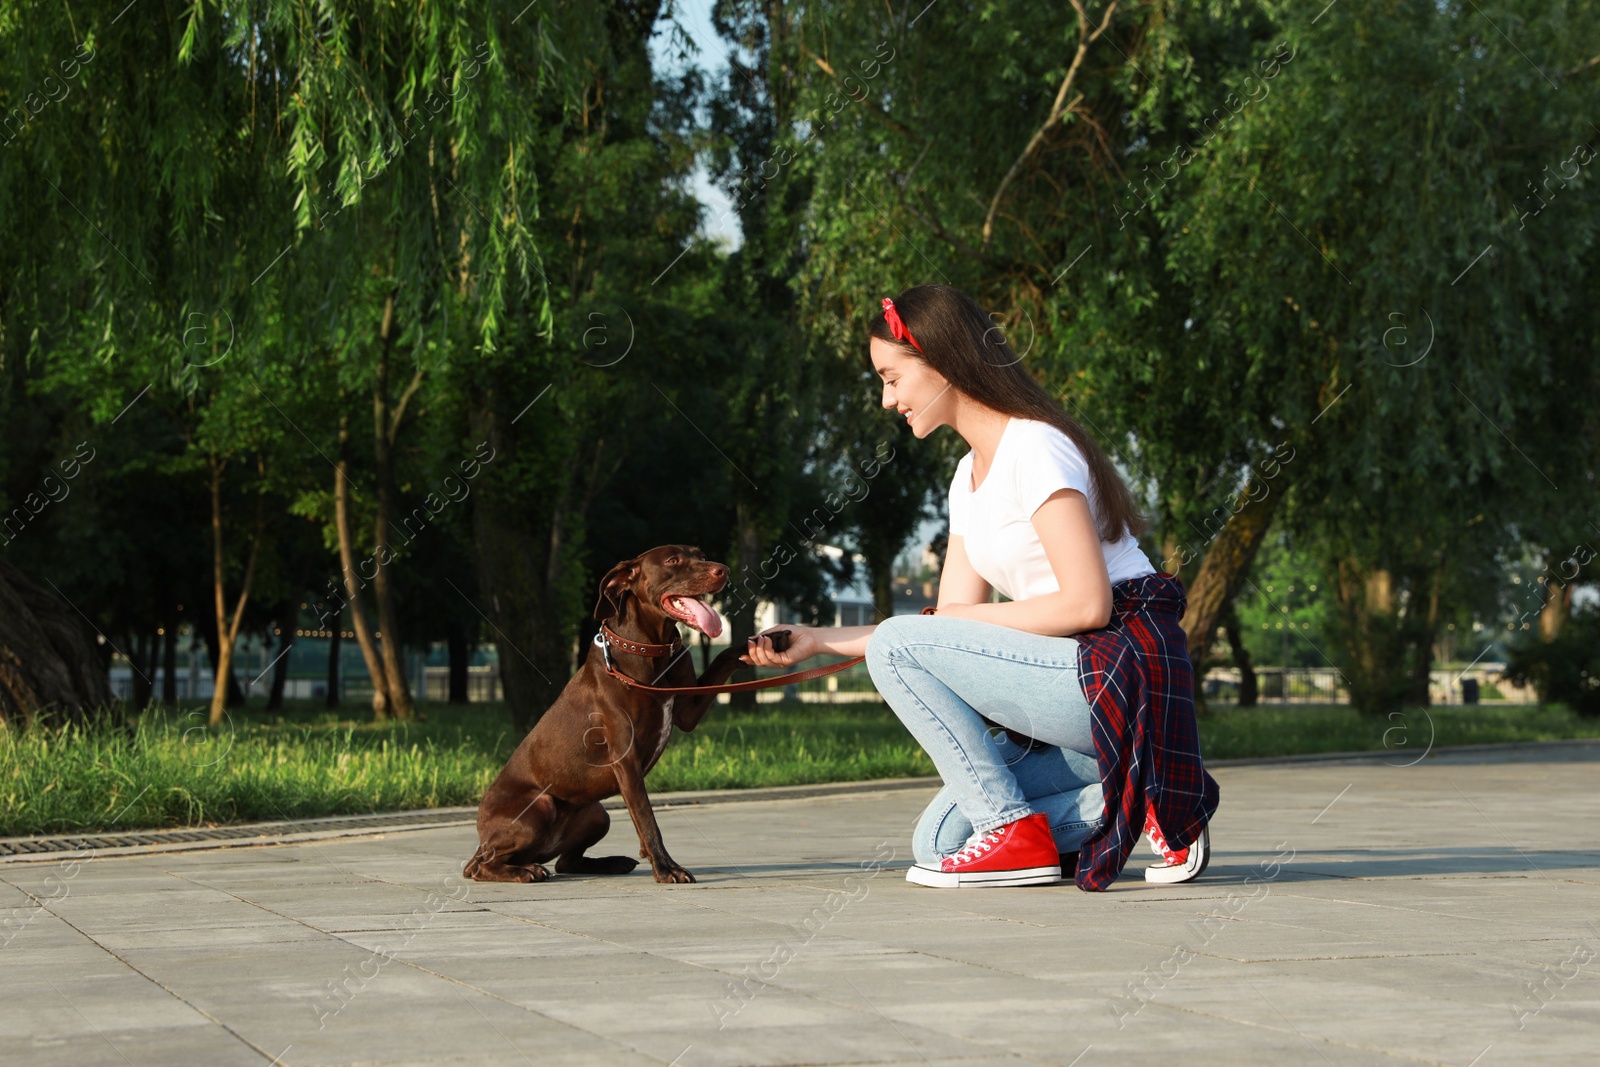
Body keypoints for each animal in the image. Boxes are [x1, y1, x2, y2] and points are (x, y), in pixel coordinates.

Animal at [464, 543, 755, 883]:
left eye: (701, 554)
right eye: (673, 561)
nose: (723, 570)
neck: (651, 649)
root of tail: (481, 835)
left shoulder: (687, 711)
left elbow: (723, 656)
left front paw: (763, 644)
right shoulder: (625, 758)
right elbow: (646, 818)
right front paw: (666, 868)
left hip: (596, 814)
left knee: (566, 862)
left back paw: (611, 862)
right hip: (540, 807)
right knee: (478, 866)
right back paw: (525, 871)